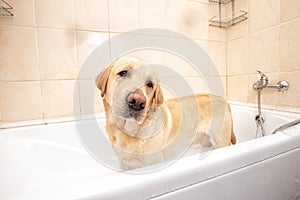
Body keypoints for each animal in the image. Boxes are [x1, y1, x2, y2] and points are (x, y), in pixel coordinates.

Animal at [96, 57, 237, 170]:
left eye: (150, 84)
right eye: (123, 73)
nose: (137, 102)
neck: (129, 131)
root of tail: (224, 100)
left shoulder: (154, 162)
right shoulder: (125, 165)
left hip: (222, 140)